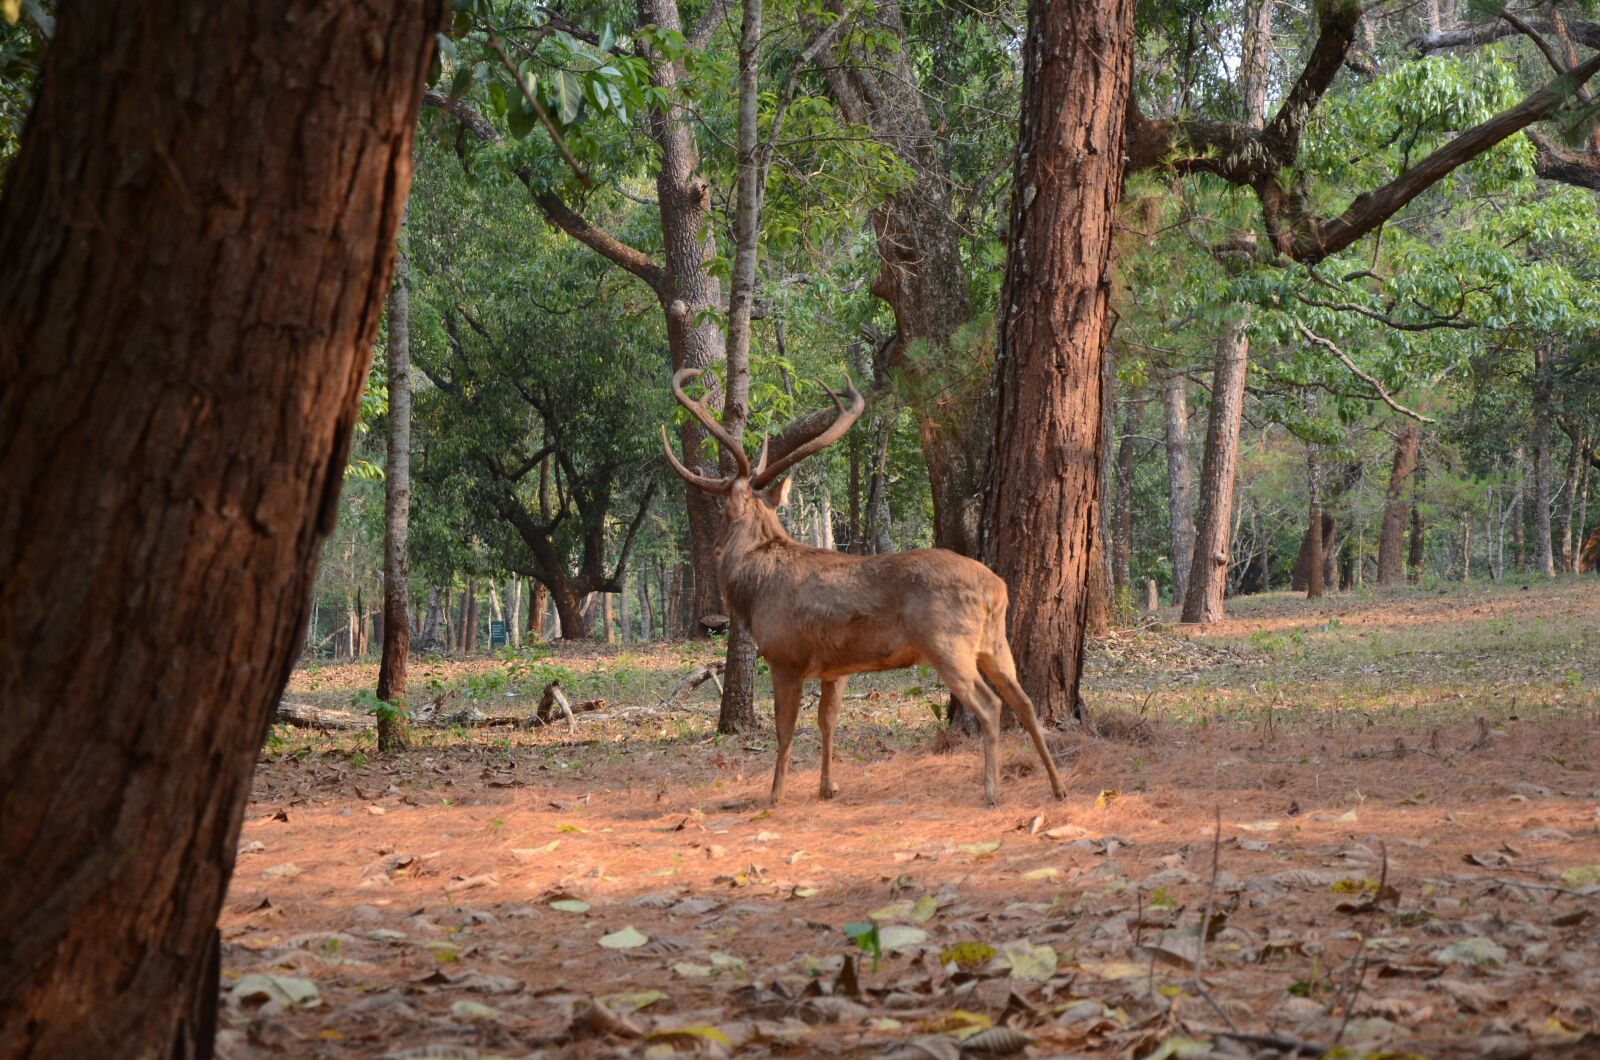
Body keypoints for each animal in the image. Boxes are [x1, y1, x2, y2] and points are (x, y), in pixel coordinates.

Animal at [661, 368, 1067, 807]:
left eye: (722, 506)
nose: (715, 545)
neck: (753, 590)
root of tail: (997, 590)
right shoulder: (835, 667)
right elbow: (827, 721)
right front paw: (827, 787)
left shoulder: (784, 656)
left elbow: (785, 730)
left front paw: (774, 795)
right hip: (994, 643)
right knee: (1024, 702)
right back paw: (1058, 786)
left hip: (946, 641)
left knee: (991, 705)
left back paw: (991, 791)